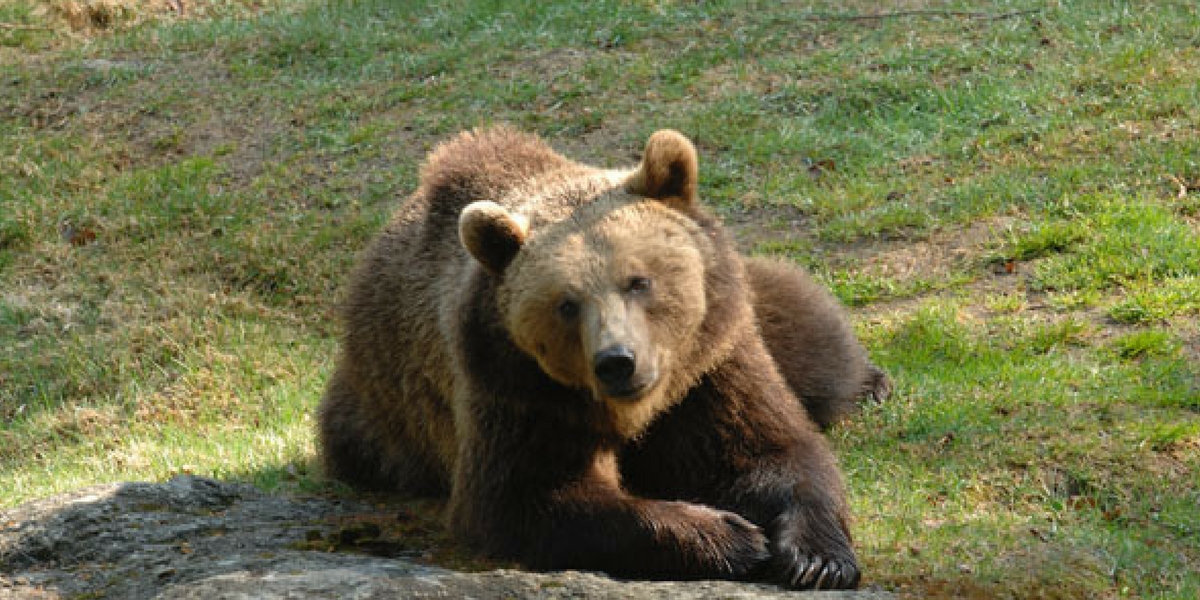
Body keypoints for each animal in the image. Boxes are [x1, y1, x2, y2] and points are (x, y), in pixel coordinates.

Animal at [318, 126, 886, 590]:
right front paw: (731, 535)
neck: (638, 409)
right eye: (567, 304)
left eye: (639, 280)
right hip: (383, 420)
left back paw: (870, 382)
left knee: (809, 342)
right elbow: (532, 497)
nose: (618, 361)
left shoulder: (710, 367)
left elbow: (770, 451)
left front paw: (815, 560)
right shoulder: (518, 391)